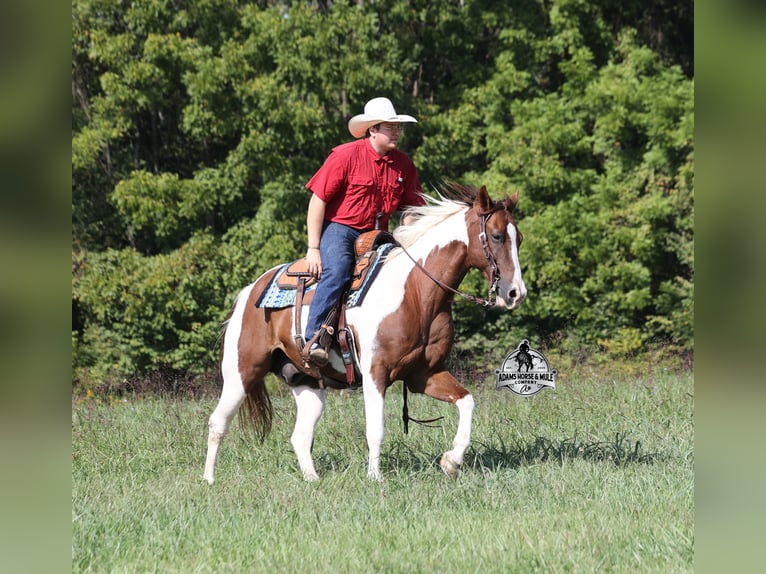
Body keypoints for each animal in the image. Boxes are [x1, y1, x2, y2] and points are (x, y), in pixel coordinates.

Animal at [203, 183, 527, 483]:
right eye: (497, 236)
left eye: (519, 238)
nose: (516, 293)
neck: (416, 292)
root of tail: (249, 291)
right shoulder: (375, 374)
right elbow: (376, 429)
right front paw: (375, 478)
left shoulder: (425, 373)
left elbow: (466, 401)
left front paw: (451, 461)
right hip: (241, 373)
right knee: (218, 422)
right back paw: (208, 479)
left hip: (307, 384)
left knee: (300, 435)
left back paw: (313, 479)